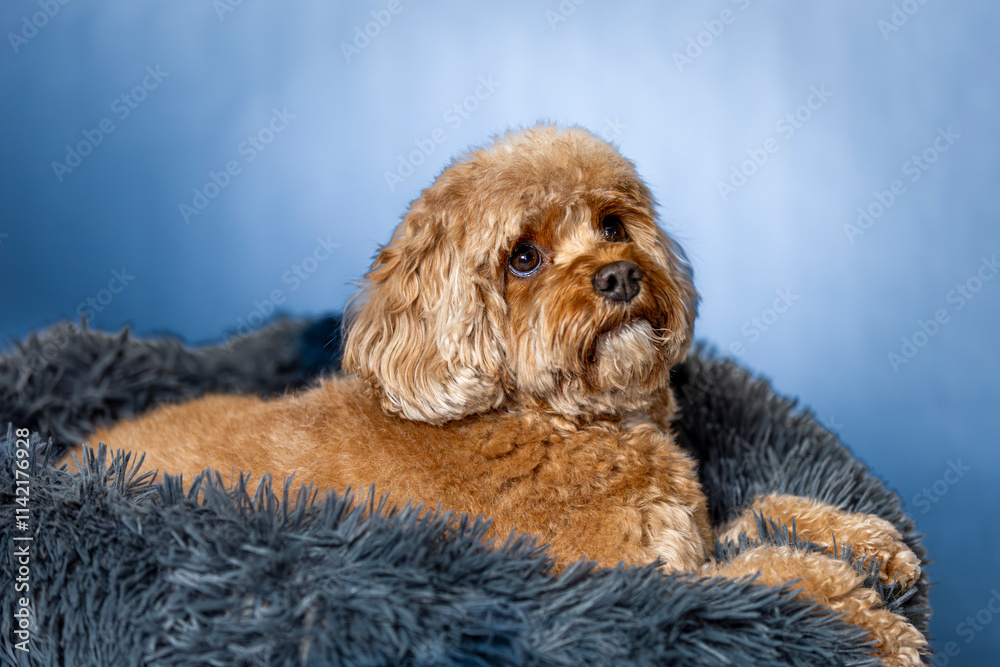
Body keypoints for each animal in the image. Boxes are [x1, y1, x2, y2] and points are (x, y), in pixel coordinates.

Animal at [71, 125, 925, 664]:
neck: (554, 418)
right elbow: (779, 575)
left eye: (613, 224)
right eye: (523, 256)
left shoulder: (694, 536)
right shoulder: (639, 583)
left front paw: (870, 541)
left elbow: (771, 513)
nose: (621, 275)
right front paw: (872, 625)